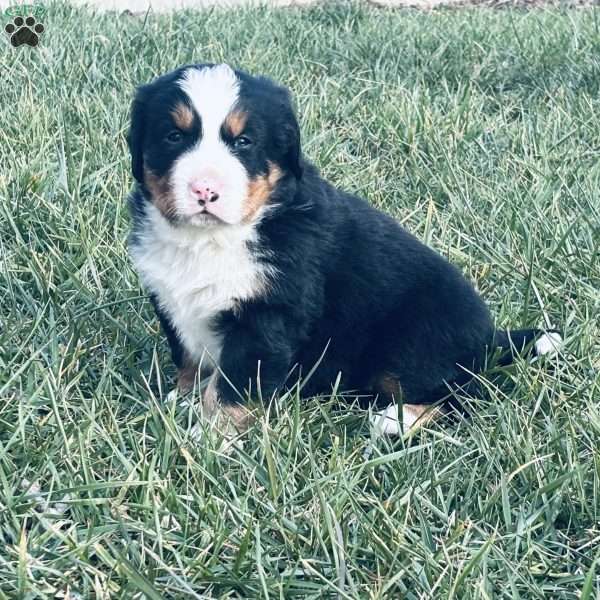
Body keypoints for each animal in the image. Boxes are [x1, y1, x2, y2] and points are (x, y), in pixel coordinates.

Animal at [126, 63, 564, 434]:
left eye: (244, 142)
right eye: (173, 136)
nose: (205, 190)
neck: (211, 238)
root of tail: (489, 338)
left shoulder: (266, 318)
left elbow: (234, 389)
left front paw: (208, 439)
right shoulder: (172, 303)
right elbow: (190, 359)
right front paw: (183, 400)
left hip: (414, 341)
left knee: (465, 394)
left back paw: (397, 420)